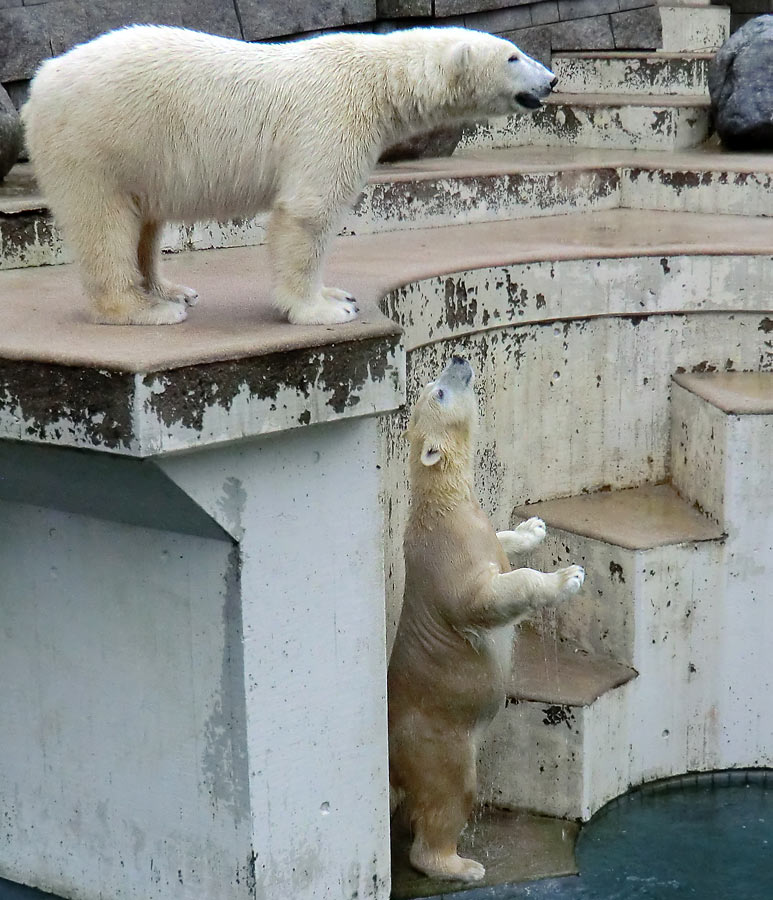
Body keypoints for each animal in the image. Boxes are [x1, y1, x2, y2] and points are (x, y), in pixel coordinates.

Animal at [22, 23, 556, 326]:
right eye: (513, 56)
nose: (551, 79)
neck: (378, 80)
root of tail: (39, 83)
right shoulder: (333, 118)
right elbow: (309, 213)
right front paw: (323, 309)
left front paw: (337, 292)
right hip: (96, 142)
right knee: (104, 223)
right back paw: (144, 310)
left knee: (145, 223)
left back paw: (171, 289)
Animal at [390, 356, 584, 884]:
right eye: (437, 391)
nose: (459, 359)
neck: (443, 504)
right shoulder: (451, 557)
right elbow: (484, 597)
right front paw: (567, 576)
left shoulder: (474, 529)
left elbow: (502, 541)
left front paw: (531, 528)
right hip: (435, 741)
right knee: (447, 795)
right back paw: (461, 864)